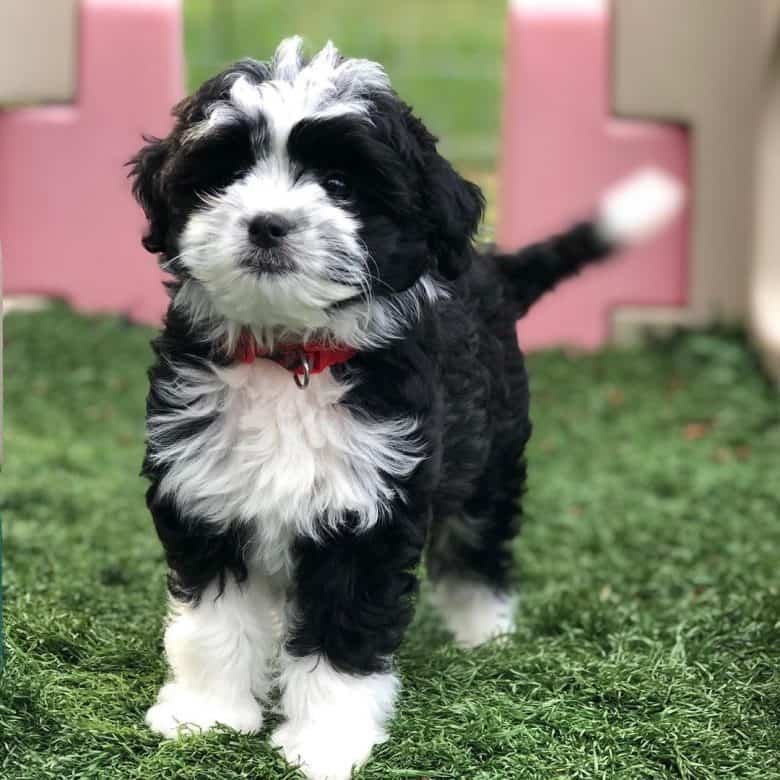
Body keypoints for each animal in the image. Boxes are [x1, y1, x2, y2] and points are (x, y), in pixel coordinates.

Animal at [129, 38, 684, 780]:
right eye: (226, 173)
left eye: (341, 185)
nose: (267, 224)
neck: (292, 358)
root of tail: (492, 272)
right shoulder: (203, 492)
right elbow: (215, 622)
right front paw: (207, 715)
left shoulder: (369, 508)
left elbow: (343, 631)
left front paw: (325, 743)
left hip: (489, 455)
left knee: (478, 544)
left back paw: (486, 633)